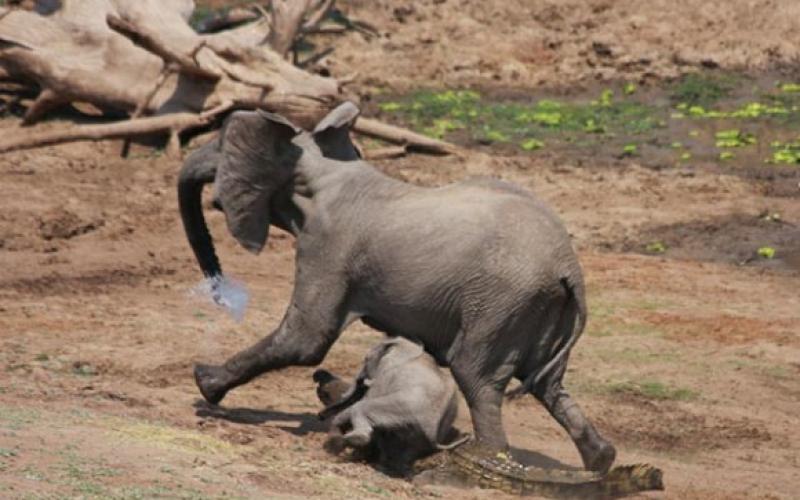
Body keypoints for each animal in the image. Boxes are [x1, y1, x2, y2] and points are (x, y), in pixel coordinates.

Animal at [310, 336, 462, 472]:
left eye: (366, 360)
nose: (320, 416)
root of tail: (432, 431)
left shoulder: (386, 373)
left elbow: (364, 400)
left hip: (403, 409)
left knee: (362, 409)